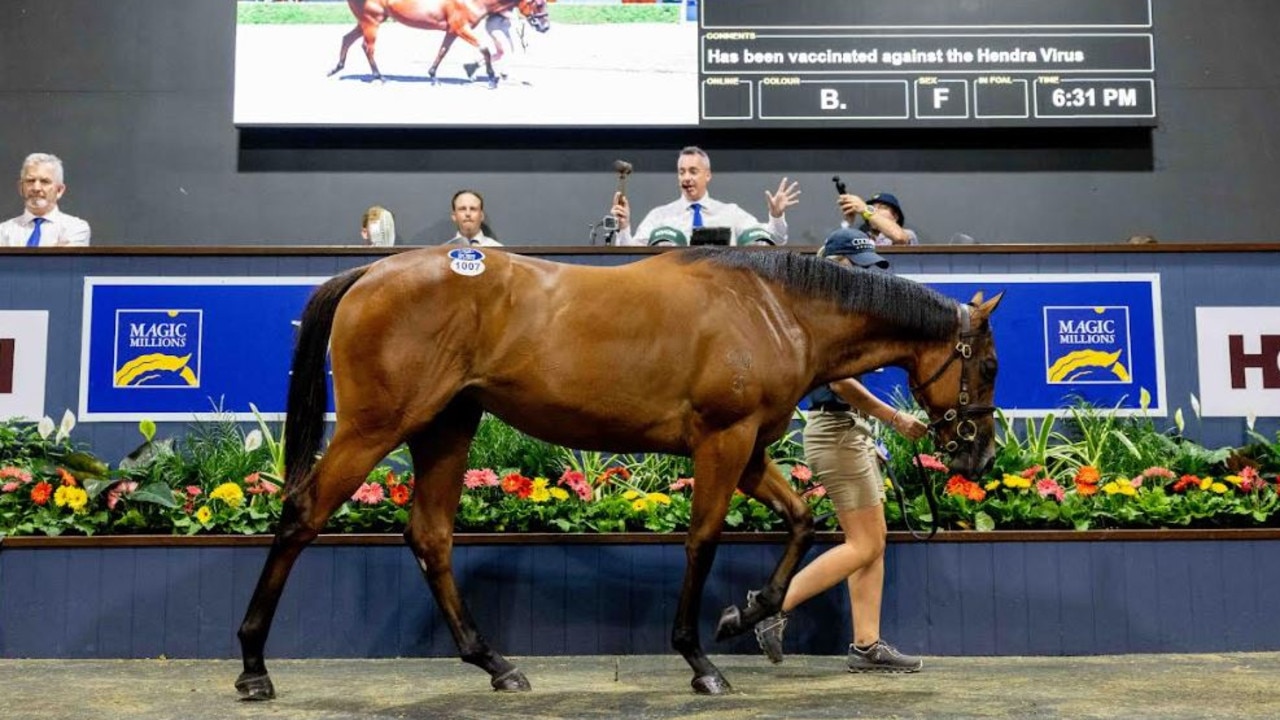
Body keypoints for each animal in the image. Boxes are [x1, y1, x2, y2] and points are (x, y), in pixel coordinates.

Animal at [235, 244, 1003, 696]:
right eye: (989, 364)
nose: (977, 452)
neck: (771, 307)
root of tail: (371, 270)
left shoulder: (752, 450)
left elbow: (803, 520)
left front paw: (747, 613)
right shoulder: (723, 443)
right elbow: (702, 541)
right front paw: (700, 660)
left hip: (447, 427)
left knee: (429, 536)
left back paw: (497, 665)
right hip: (375, 428)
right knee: (301, 516)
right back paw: (253, 667)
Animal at [325, 0, 550, 88]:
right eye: (539, 3)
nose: (545, 27)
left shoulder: (451, 30)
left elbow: (442, 51)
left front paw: (433, 76)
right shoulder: (461, 28)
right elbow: (485, 49)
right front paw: (492, 79)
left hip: (367, 22)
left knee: (347, 38)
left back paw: (336, 68)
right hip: (371, 22)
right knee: (367, 48)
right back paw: (379, 77)